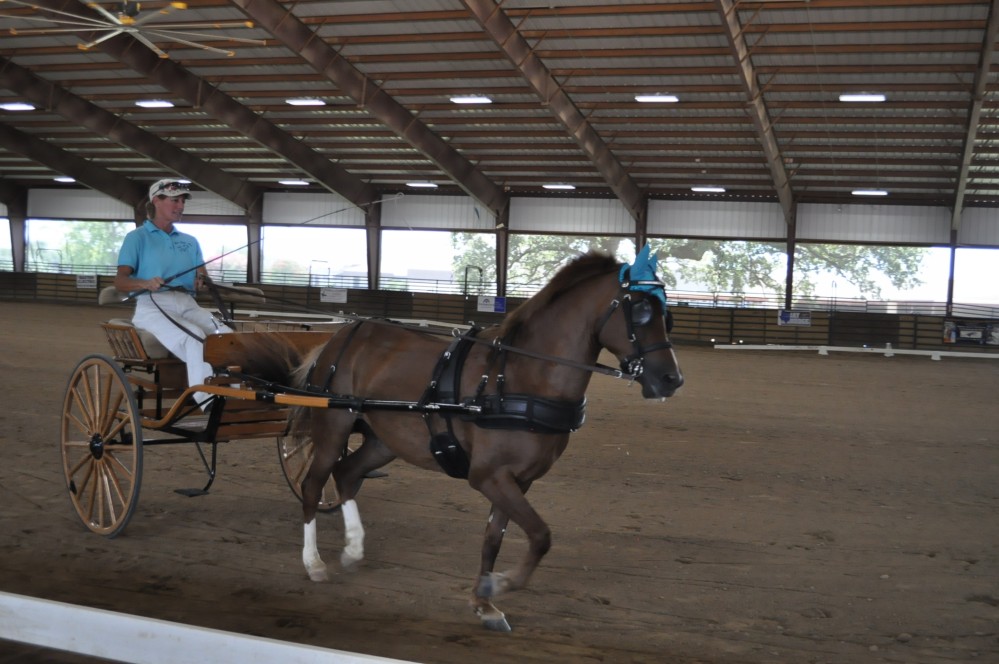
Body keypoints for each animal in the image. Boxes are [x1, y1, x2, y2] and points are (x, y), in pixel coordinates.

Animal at [270, 248, 684, 628]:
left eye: (666, 312)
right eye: (640, 309)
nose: (671, 379)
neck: (519, 376)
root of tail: (341, 335)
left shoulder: (518, 480)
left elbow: (494, 539)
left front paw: (484, 602)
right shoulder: (488, 476)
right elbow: (540, 535)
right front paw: (499, 585)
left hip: (382, 441)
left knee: (347, 474)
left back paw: (354, 549)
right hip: (333, 428)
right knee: (313, 484)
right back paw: (314, 563)